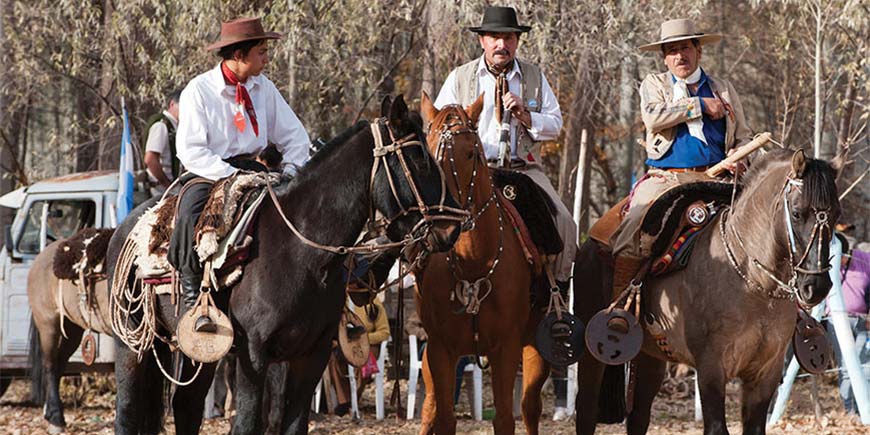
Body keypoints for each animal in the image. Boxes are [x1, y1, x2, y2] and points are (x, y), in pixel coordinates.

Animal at [105, 96, 466, 435]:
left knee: (187, 405)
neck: (302, 254)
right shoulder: (253, 354)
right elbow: (247, 423)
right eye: (418, 158)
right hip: (132, 345)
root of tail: (126, 228)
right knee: (128, 412)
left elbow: (292, 423)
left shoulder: (311, 355)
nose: (452, 228)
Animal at [418, 93, 552, 434]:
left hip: (534, 347)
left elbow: (505, 417)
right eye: (427, 151)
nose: (442, 220)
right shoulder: (440, 349)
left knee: (529, 407)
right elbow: (444, 418)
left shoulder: (506, 348)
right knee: (429, 408)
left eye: (470, 153)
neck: (474, 263)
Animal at [576, 148, 840, 434]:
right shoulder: (711, 370)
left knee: (639, 415)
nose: (816, 286)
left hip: (650, 355)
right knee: (586, 409)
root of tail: (590, 243)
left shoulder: (764, 374)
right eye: (797, 213)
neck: (754, 285)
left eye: (836, 214)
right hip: (592, 354)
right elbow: (715, 426)